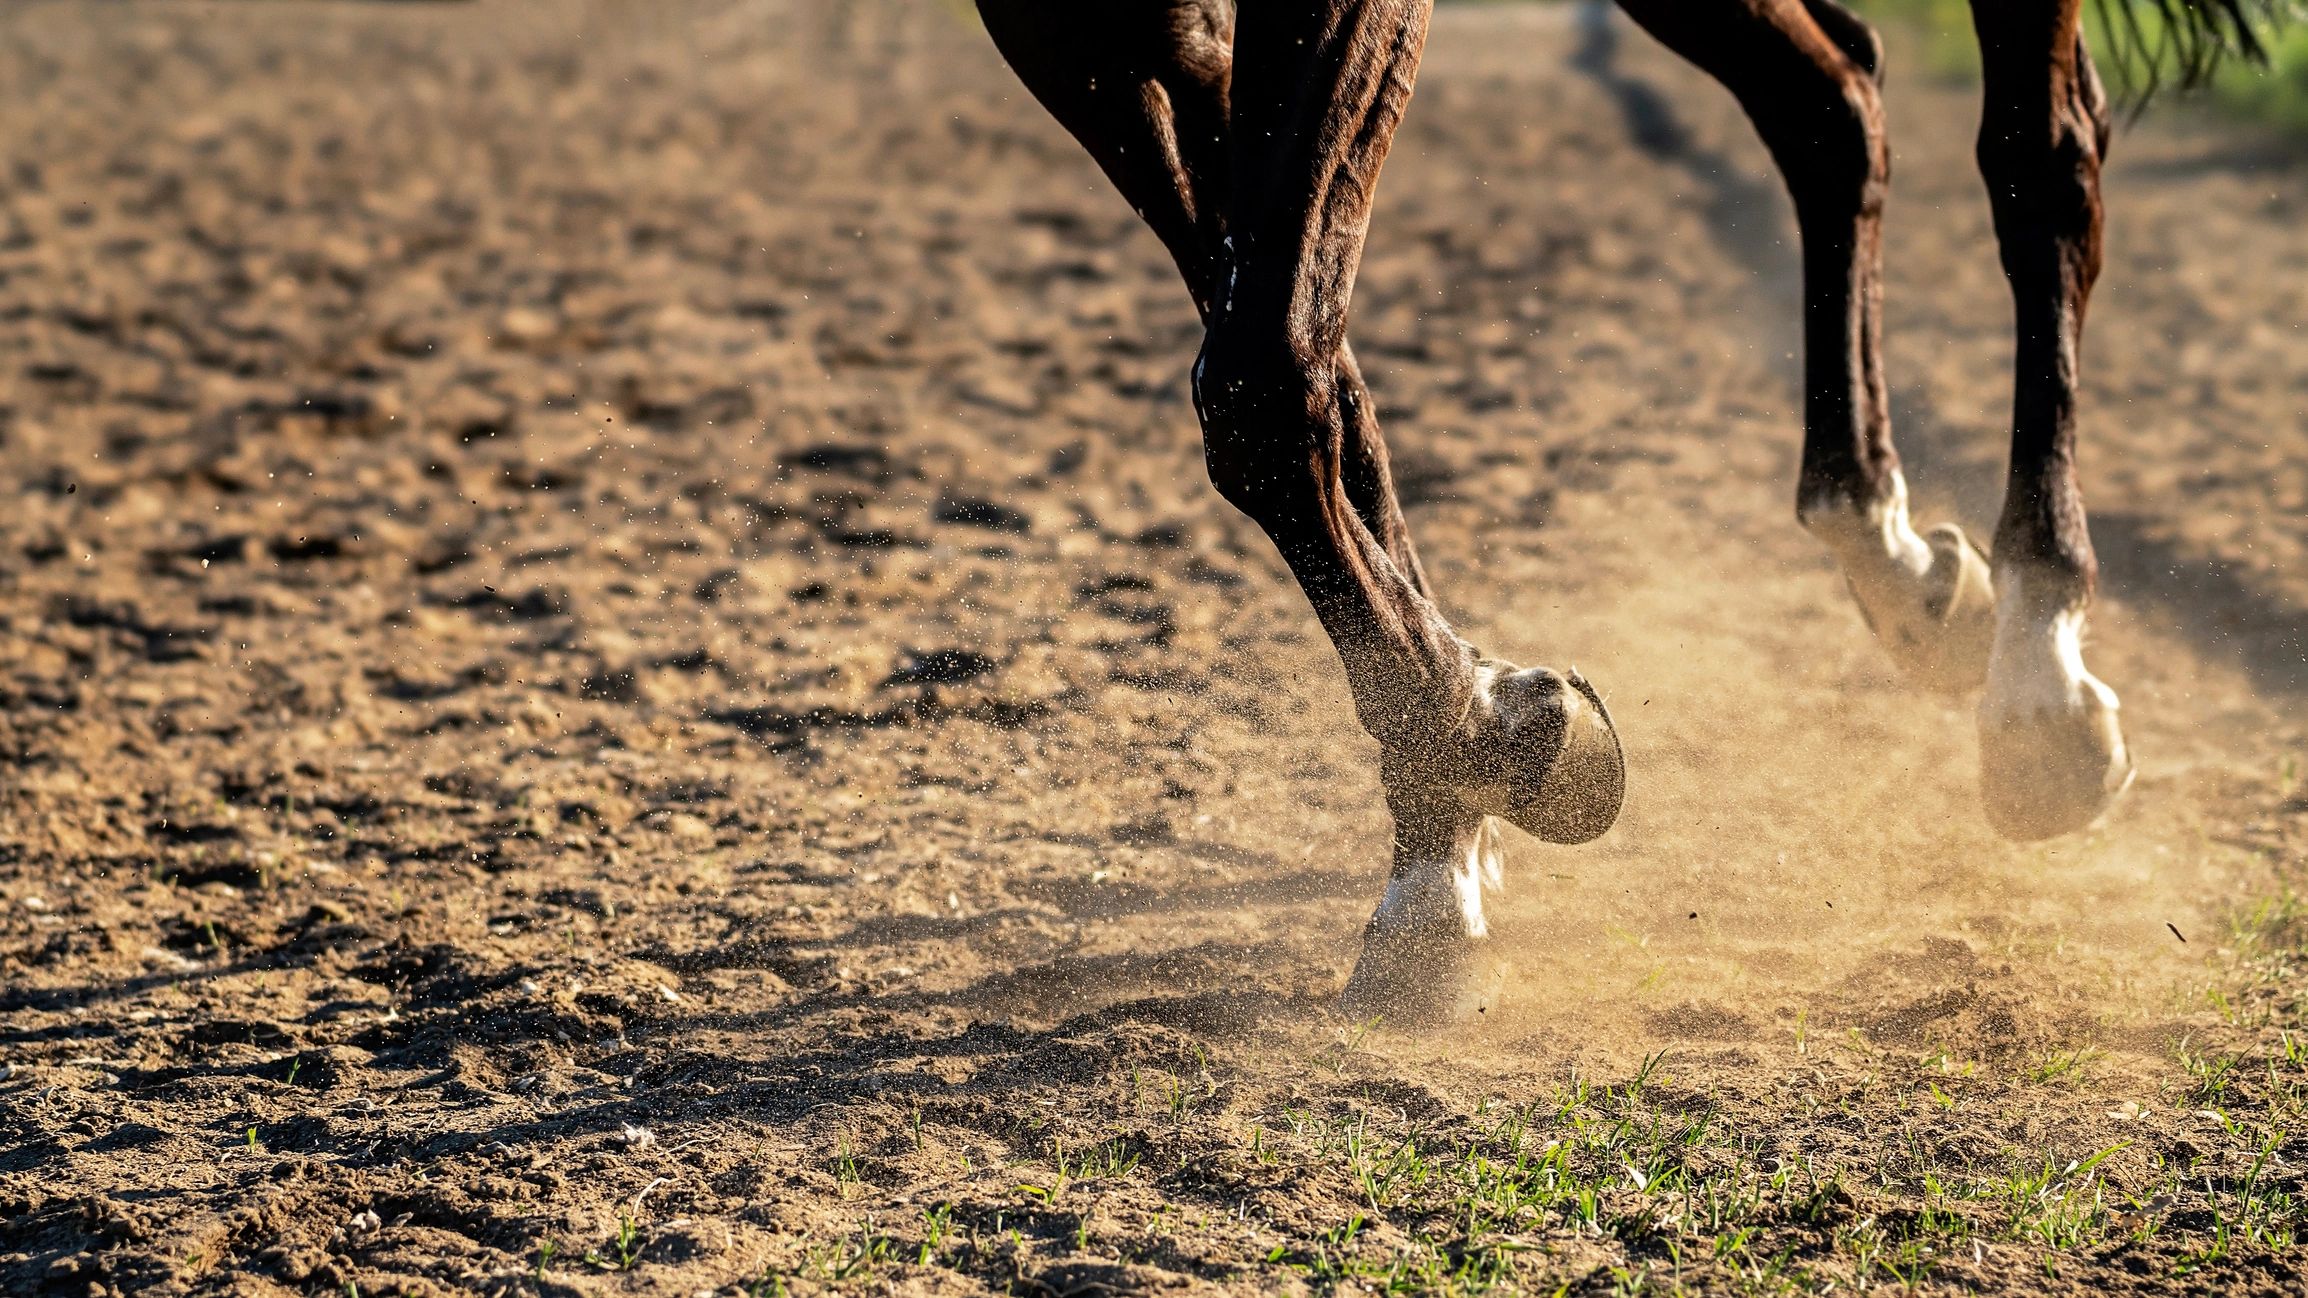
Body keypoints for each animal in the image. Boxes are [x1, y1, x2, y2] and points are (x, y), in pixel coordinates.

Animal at [969, 0, 2283, 1024]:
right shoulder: (1080, 28)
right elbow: (1297, 370)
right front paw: (1445, 827)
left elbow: (1260, 370)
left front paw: (1491, 743)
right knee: (1830, 97)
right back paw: (1899, 561)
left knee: (2040, 160)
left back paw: (2037, 678)